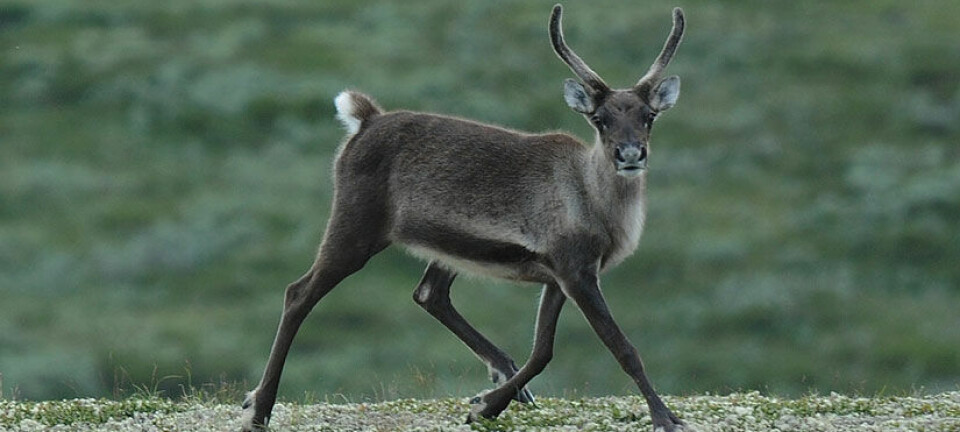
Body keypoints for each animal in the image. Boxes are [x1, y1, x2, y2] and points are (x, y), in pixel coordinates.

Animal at [241, 4, 687, 431]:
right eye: (600, 119)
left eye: (648, 116)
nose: (630, 154)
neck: (594, 201)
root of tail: (365, 119)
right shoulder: (575, 269)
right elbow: (621, 346)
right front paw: (665, 417)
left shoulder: (560, 274)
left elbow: (542, 350)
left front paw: (486, 407)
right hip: (355, 225)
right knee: (299, 293)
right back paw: (259, 408)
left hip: (445, 246)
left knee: (429, 294)